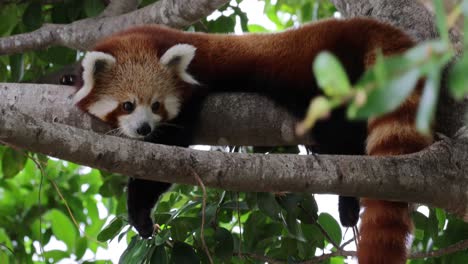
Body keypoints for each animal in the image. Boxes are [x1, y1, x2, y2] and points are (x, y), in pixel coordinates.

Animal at [73, 17, 432, 262]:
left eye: (156, 105)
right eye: (127, 105)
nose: (144, 129)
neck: (147, 39)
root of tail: (356, 25)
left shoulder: (193, 93)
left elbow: (168, 154)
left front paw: (139, 211)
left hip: (328, 78)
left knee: (343, 137)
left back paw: (349, 202)